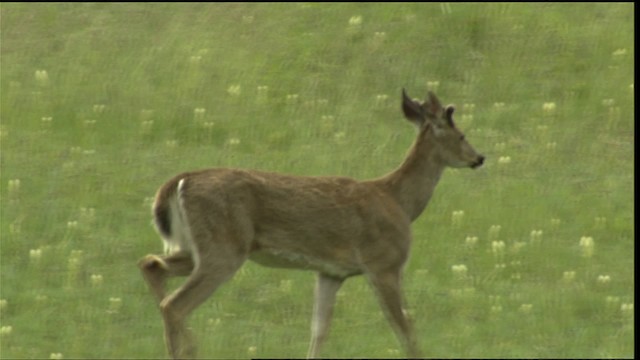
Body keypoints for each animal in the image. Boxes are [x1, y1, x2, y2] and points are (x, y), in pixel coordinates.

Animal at [138, 88, 482, 358]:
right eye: (462, 135)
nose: (479, 158)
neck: (398, 200)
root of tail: (178, 182)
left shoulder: (330, 272)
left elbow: (319, 330)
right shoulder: (384, 263)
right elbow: (406, 328)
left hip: (195, 247)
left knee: (151, 265)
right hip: (222, 249)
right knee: (174, 304)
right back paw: (189, 349)